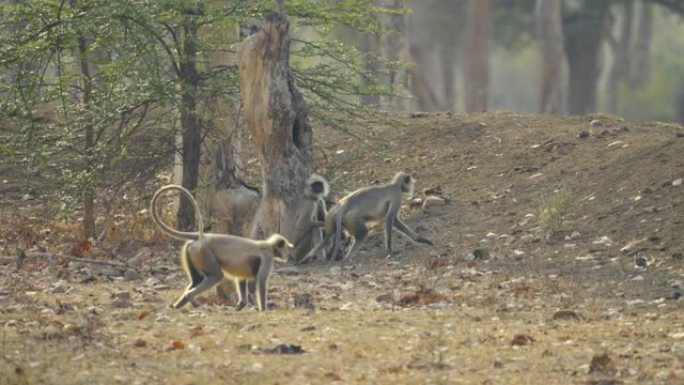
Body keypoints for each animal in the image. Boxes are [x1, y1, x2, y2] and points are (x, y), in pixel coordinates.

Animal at [151, 184, 292, 310]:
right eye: (285, 248)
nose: (287, 256)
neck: (268, 245)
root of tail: (203, 237)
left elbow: (242, 278)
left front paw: (241, 305)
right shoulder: (268, 256)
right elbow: (261, 282)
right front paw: (263, 309)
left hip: (193, 252)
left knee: (197, 279)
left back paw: (178, 305)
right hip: (204, 253)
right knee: (216, 276)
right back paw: (191, 298)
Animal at [300, 171, 432, 264]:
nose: (412, 187)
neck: (395, 186)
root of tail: (342, 207)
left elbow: (394, 221)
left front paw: (420, 239)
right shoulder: (396, 196)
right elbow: (390, 219)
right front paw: (389, 250)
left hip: (332, 218)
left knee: (328, 237)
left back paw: (305, 258)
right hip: (352, 219)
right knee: (363, 233)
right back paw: (347, 259)